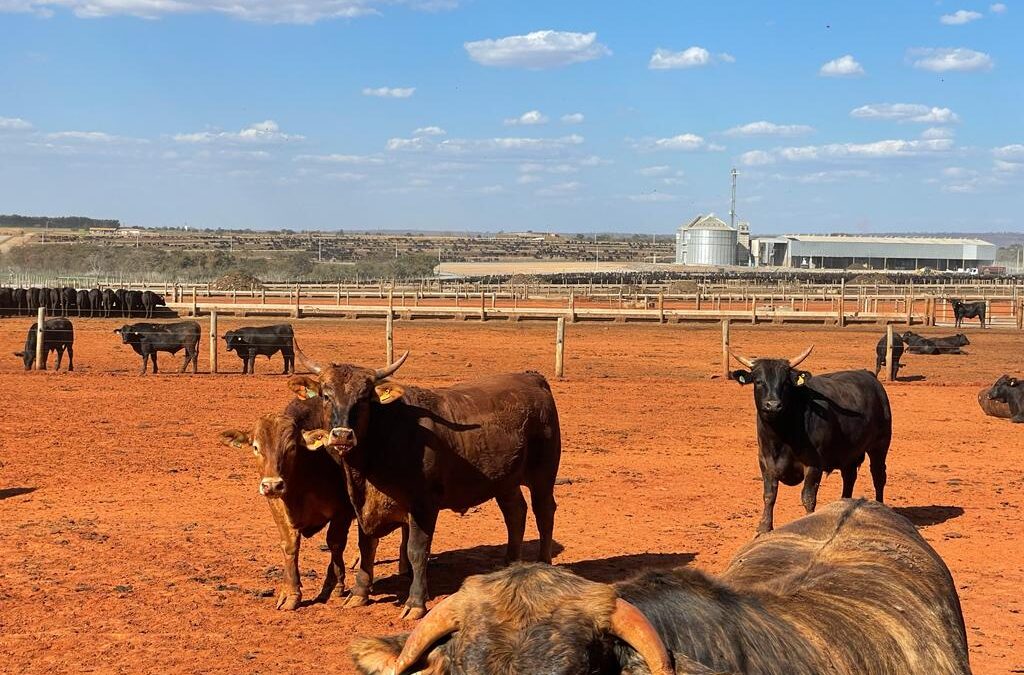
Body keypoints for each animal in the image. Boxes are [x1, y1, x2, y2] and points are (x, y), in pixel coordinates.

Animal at [220, 395, 368, 614]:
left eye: (291, 448)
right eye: (256, 447)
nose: (273, 485)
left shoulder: (342, 511)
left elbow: (335, 544)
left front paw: (334, 585)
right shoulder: (277, 505)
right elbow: (290, 546)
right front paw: (290, 594)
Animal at [733, 348, 892, 532]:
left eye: (786, 383)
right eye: (758, 381)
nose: (773, 405)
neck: (782, 437)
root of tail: (869, 376)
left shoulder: (814, 465)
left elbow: (808, 498)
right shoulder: (766, 463)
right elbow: (769, 495)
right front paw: (764, 528)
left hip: (879, 446)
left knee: (878, 476)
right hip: (849, 453)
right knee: (849, 477)